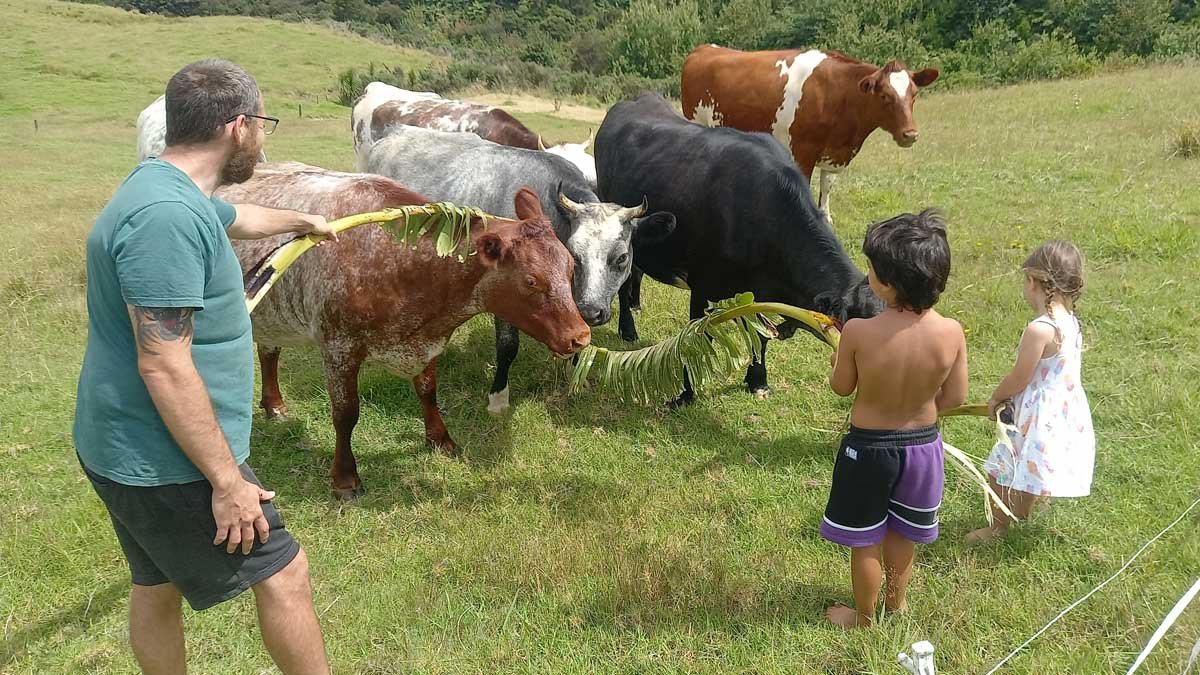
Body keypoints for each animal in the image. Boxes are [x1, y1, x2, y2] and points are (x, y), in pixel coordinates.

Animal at [219, 162, 590, 497]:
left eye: (571, 265)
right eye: (531, 280)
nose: (581, 336)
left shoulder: (428, 341)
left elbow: (427, 390)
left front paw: (441, 439)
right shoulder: (338, 346)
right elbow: (346, 413)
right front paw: (345, 478)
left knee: (269, 351)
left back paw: (274, 405)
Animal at [597, 91, 888, 401]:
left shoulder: (759, 293)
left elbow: (760, 335)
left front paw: (758, 380)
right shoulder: (702, 284)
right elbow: (693, 340)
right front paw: (686, 394)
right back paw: (628, 328)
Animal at [686, 44, 936, 218]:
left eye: (914, 94)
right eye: (884, 96)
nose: (910, 135)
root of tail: (704, 48)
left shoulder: (834, 154)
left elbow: (826, 191)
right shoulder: (803, 150)